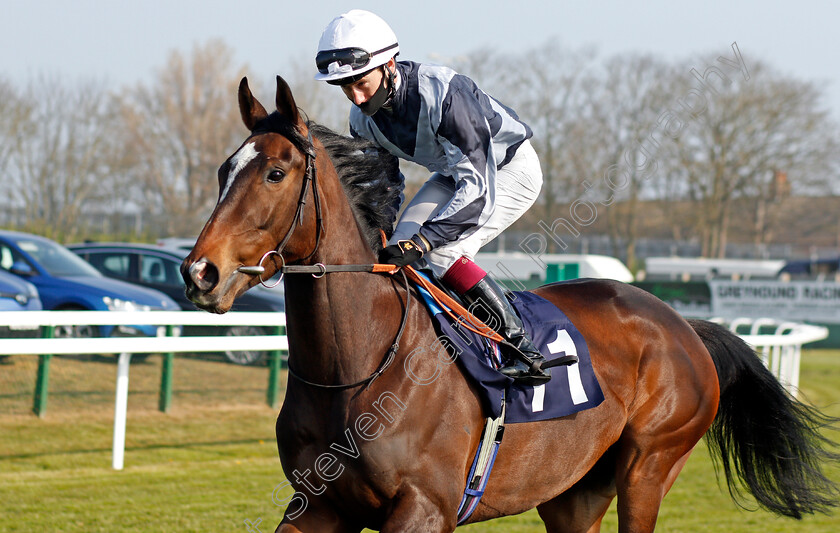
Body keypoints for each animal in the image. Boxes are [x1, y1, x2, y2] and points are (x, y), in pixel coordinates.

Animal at [180, 76, 836, 532]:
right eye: (223, 170)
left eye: (275, 172)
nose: (200, 272)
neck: (358, 367)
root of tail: (683, 325)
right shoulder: (316, 504)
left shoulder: (424, 508)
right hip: (574, 491)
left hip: (650, 466)